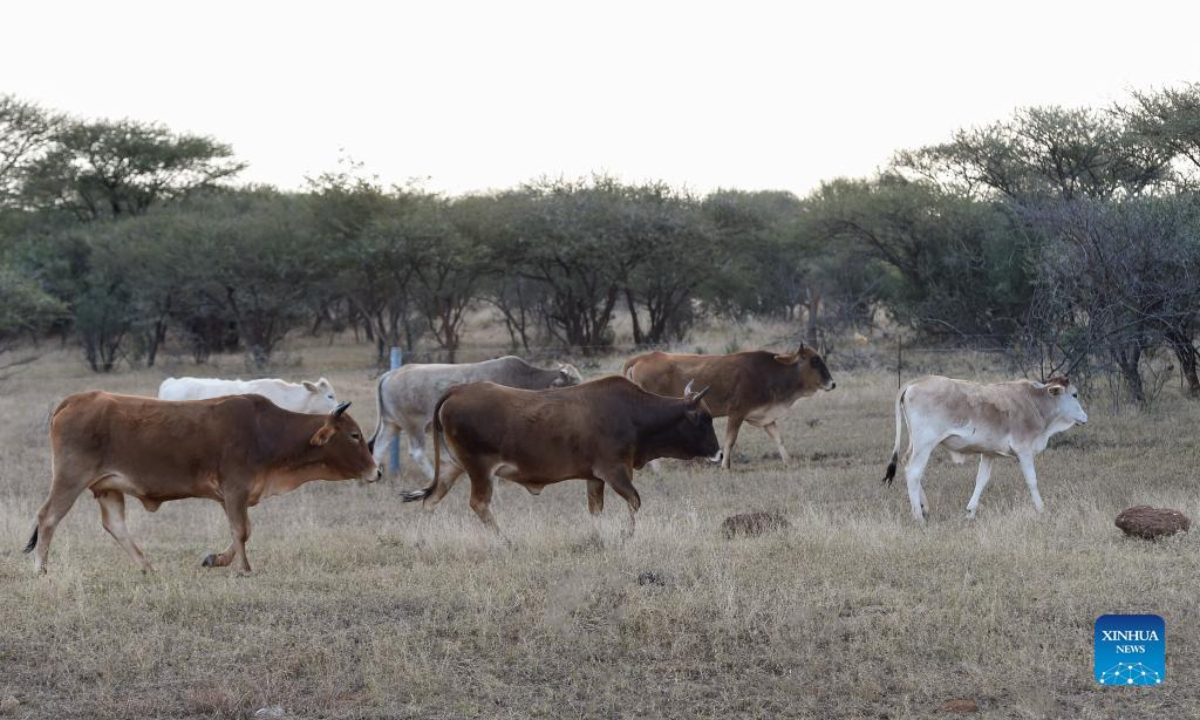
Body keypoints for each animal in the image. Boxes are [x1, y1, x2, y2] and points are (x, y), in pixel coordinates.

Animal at [24, 392, 379, 574]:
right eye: (354, 435)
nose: (377, 472)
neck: (266, 432)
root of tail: (77, 399)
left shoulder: (233, 496)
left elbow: (243, 531)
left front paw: (216, 559)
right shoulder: (235, 489)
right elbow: (241, 531)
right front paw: (244, 568)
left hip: (108, 487)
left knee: (115, 525)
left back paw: (146, 566)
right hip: (70, 478)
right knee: (47, 518)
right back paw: (40, 569)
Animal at [368, 356, 583, 478]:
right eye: (574, 381)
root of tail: (390, 374)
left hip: (391, 424)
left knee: (378, 448)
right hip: (414, 425)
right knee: (417, 452)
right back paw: (432, 476)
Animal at [399, 377, 719, 533]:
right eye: (705, 419)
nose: (718, 453)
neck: (634, 413)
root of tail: (457, 390)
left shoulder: (595, 478)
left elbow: (596, 511)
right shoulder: (615, 472)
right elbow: (635, 502)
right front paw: (627, 536)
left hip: (452, 467)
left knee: (431, 500)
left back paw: (421, 542)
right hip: (479, 469)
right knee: (479, 504)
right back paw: (506, 542)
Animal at [622, 344, 835, 469]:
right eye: (814, 361)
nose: (832, 384)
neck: (770, 373)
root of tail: (642, 358)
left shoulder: (766, 417)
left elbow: (778, 439)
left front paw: (789, 462)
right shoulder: (736, 413)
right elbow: (730, 441)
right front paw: (725, 466)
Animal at [881, 375, 1088, 524]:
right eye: (1075, 394)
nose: (1085, 417)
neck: (1035, 403)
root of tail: (917, 381)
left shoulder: (989, 454)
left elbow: (981, 481)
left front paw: (970, 512)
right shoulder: (1024, 451)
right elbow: (1032, 481)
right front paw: (1041, 509)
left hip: (917, 444)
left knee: (908, 467)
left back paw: (924, 508)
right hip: (925, 444)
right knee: (913, 473)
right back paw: (918, 516)